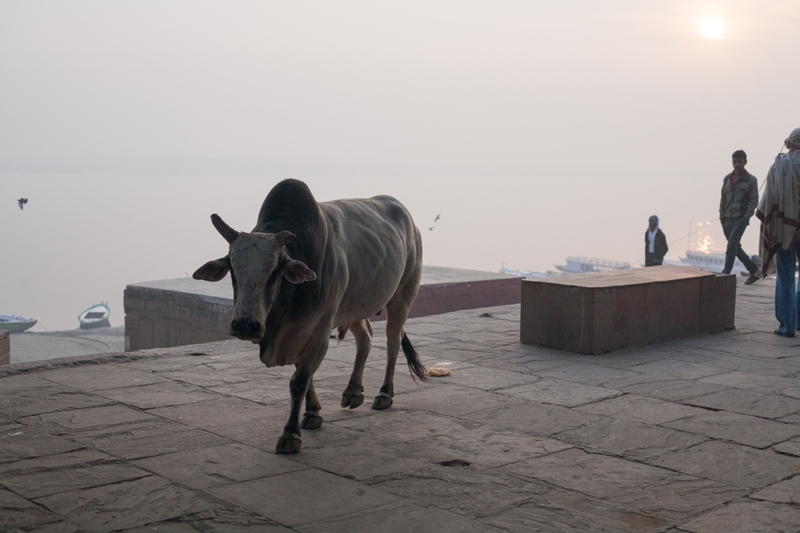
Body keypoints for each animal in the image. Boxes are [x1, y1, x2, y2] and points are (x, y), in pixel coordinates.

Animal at [193, 179, 428, 454]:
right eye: (232, 268)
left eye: (274, 272)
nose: (245, 326)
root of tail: (408, 219)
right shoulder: (300, 333)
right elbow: (305, 377)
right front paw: (313, 412)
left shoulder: (319, 332)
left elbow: (299, 381)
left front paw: (290, 435)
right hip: (354, 306)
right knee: (366, 339)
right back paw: (353, 392)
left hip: (402, 296)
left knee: (393, 342)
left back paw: (384, 394)